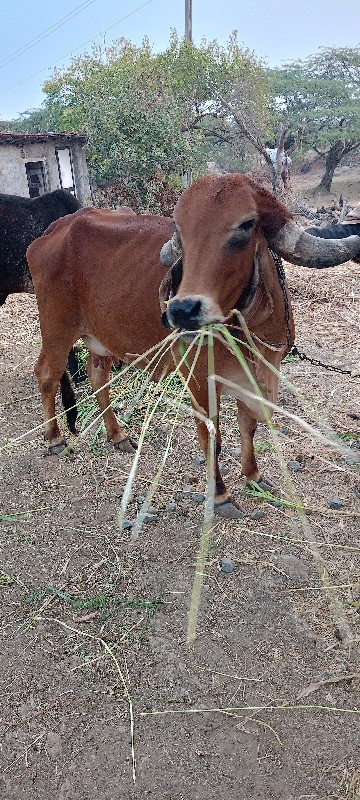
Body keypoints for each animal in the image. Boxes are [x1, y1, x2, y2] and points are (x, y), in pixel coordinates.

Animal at [26, 175, 360, 520]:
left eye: (246, 225)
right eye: (181, 230)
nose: (182, 310)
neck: (246, 330)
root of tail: (57, 229)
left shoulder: (254, 378)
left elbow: (248, 427)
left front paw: (254, 475)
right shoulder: (200, 382)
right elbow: (212, 438)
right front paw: (221, 494)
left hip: (100, 341)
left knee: (97, 378)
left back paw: (117, 435)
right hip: (57, 331)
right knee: (46, 374)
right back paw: (54, 438)